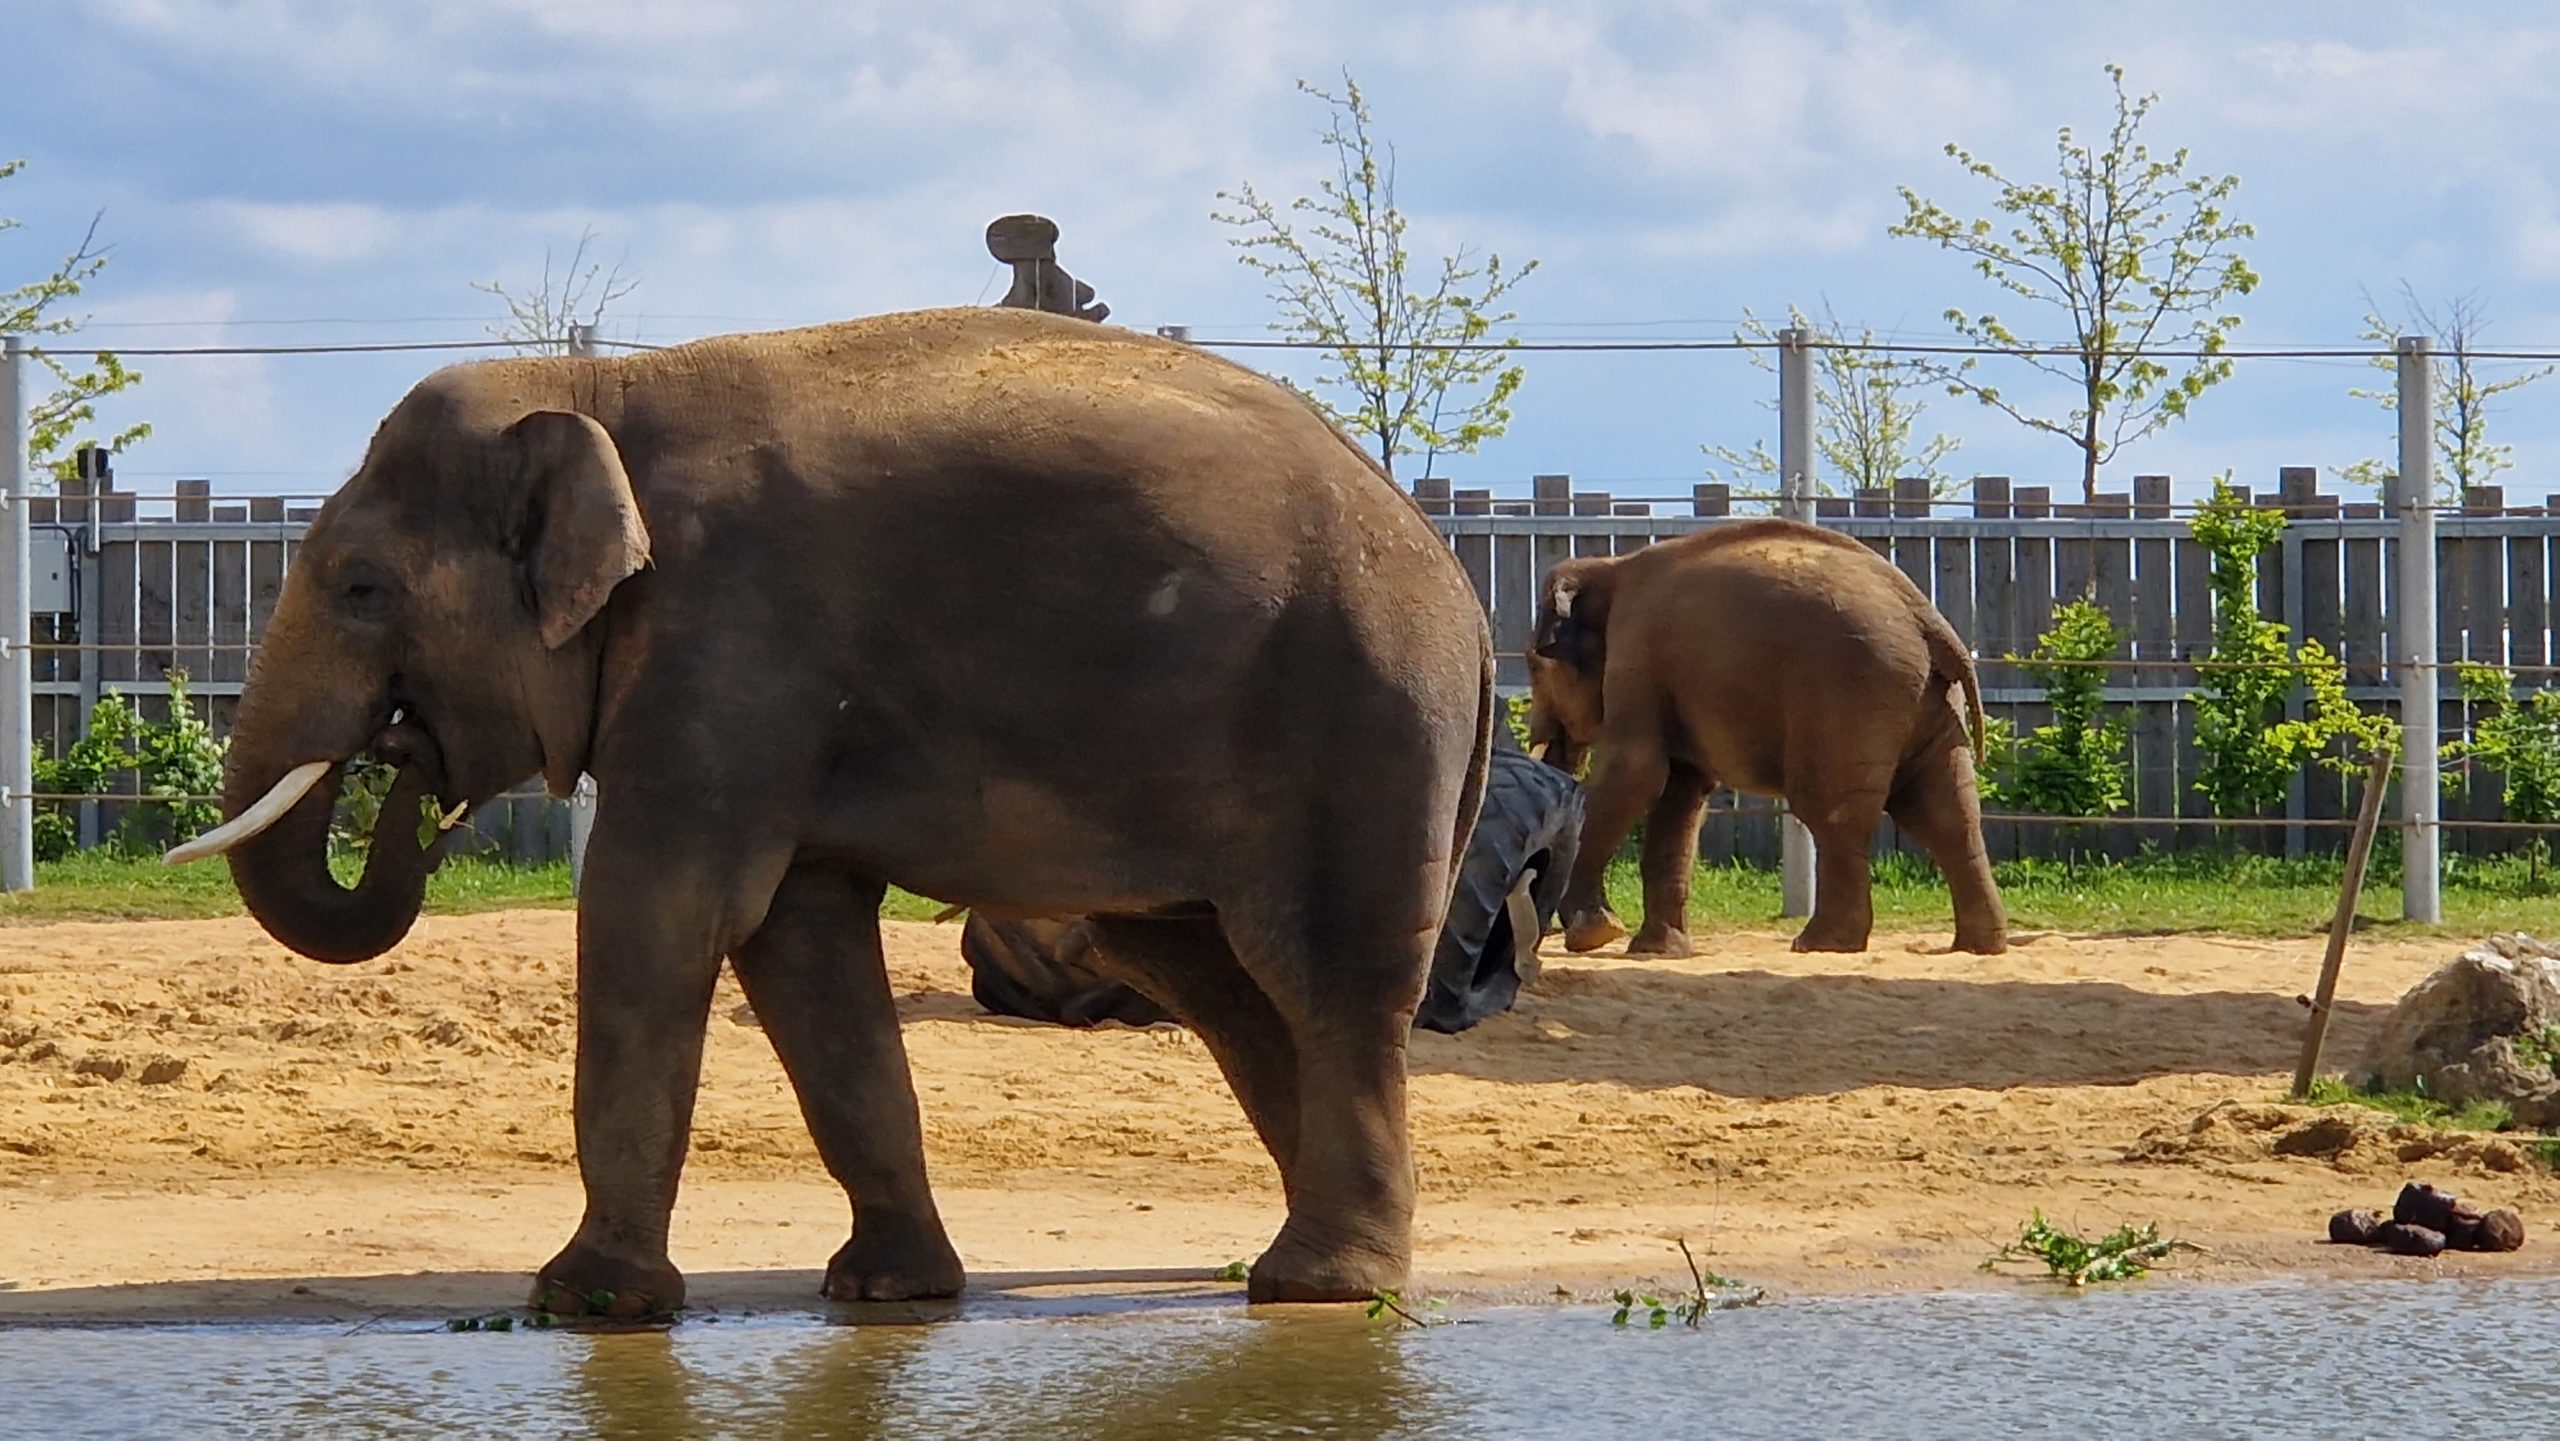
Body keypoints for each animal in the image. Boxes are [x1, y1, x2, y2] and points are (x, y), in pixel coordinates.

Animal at [168, 306, 1497, 1314]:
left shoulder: (727, 646)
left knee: (1323, 976)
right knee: (1210, 978)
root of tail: (1458, 584)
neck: (593, 389)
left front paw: (583, 1302)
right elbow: (799, 946)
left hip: (1353, 725)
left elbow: (660, 916)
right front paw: (886, 1293)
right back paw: (1295, 1264)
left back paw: (1319, 1288)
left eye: (360, 587)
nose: (405, 758)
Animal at [1522, 517, 2007, 957]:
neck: (1609, 567)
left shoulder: (1634, 656)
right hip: (1931, 700)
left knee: (1833, 814)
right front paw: (1654, 951)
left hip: (1849, 698)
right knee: (1946, 813)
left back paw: (1821, 944)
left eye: (1534, 665)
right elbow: (1679, 793)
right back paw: (1978, 947)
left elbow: (1636, 774)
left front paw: (1595, 934)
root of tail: (1926, 618)